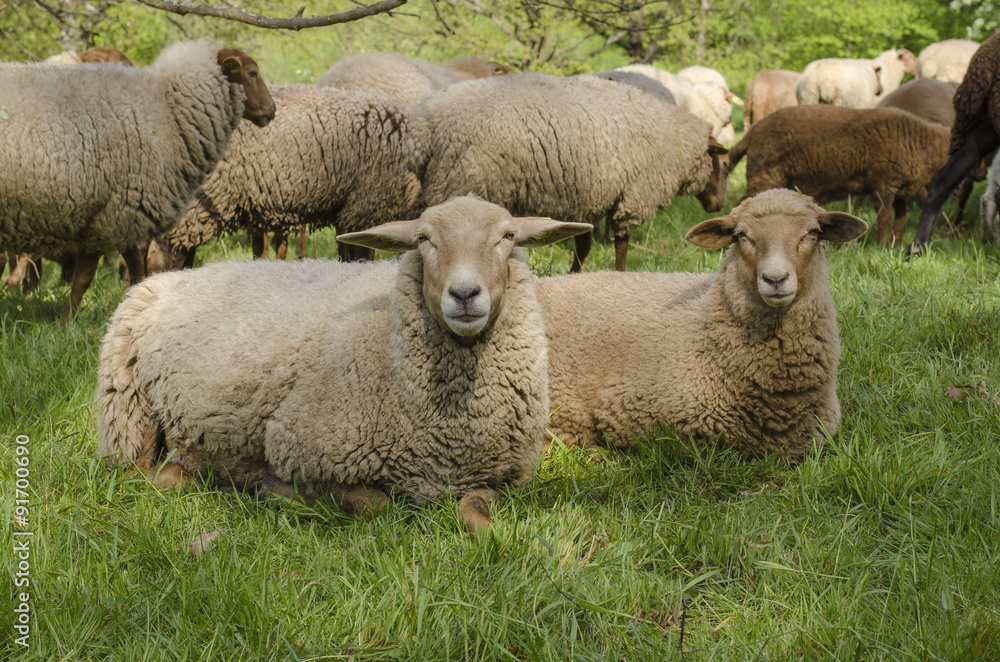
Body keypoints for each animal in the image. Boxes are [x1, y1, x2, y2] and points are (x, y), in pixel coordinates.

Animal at [0, 40, 275, 324]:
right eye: (253, 73)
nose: (272, 109)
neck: (167, 111)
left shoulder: (117, 212)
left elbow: (132, 265)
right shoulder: (109, 215)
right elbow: (87, 277)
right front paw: (67, 323)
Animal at [95, 196, 592, 536]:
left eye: (507, 237)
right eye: (423, 239)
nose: (465, 294)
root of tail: (165, 279)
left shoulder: (501, 477)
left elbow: (477, 514)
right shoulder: (302, 448)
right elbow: (374, 504)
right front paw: (278, 493)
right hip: (127, 412)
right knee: (141, 474)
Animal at [408, 72, 729, 272]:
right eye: (724, 165)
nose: (718, 205)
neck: (674, 138)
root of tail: (424, 122)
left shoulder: (585, 197)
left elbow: (584, 245)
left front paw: (574, 274)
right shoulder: (633, 196)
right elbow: (621, 244)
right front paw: (619, 272)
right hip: (461, 181)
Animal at [726, 104, 950, 246]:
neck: (923, 143)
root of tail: (752, 133)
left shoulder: (899, 189)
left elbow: (900, 219)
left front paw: (894, 246)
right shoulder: (883, 184)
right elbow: (884, 217)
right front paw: (880, 246)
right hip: (765, 176)